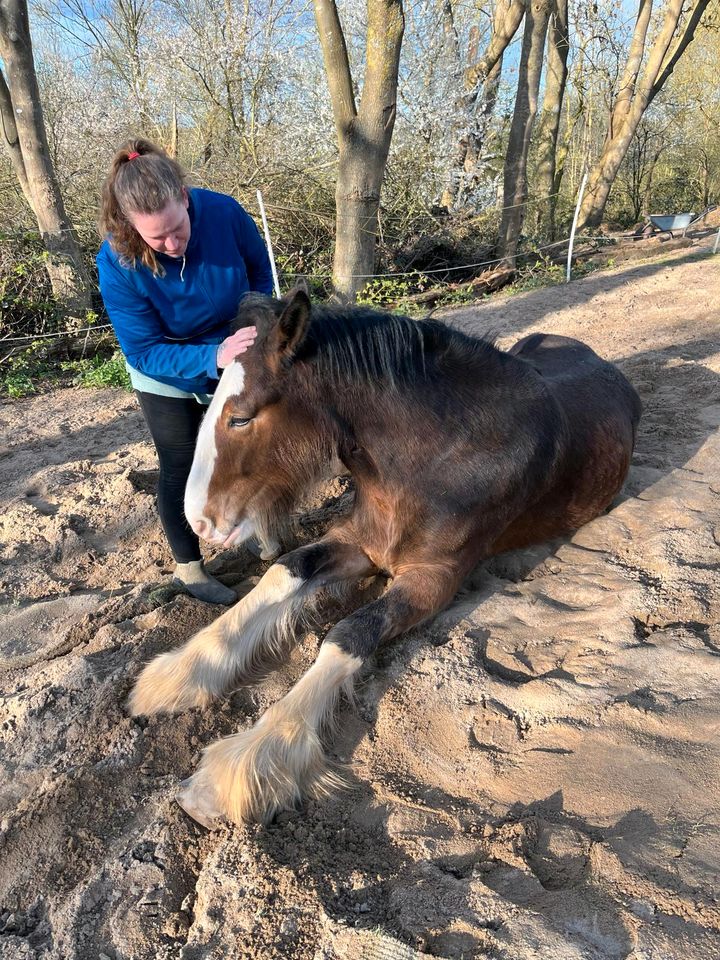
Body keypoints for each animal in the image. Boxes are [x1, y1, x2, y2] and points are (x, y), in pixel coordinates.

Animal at [128, 286, 640, 824]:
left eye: (241, 416)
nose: (200, 520)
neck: (439, 458)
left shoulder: (434, 578)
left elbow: (350, 633)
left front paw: (243, 765)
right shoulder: (359, 542)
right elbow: (284, 573)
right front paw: (179, 674)